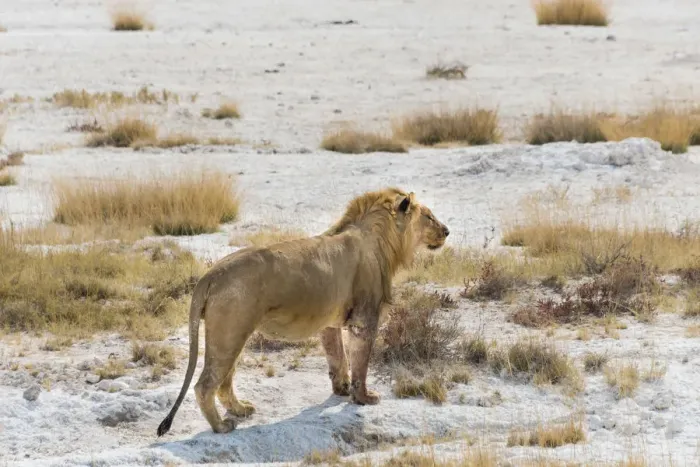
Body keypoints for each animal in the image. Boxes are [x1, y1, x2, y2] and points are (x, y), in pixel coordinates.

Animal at [157, 187, 449, 436]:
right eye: (429, 216)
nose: (447, 231)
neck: (383, 240)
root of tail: (210, 275)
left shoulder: (330, 321)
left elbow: (337, 357)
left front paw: (341, 389)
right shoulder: (364, 319)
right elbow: (360, 364)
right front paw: (364, 398)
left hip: (233, 336)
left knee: (224, 382)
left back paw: (241, 410)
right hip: (229, 334)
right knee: (205, 385)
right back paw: (221, 426)